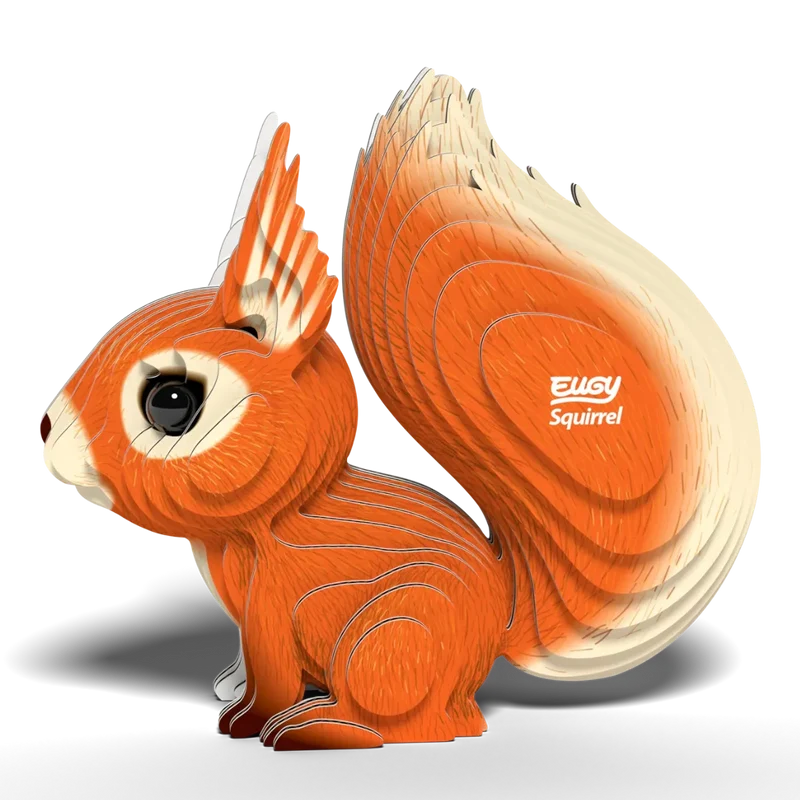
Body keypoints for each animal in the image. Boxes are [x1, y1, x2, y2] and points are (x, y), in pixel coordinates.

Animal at [38, 68, 762, 751]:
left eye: (171, 402)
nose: (46, 431)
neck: (261, 527)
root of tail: (488, 647)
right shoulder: (247, 622)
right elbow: (247, 670)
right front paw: (230, 694)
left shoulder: (271, 605)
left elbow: (271, 681)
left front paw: (247, 722)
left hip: (391, 638)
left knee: (424, 727)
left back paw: (321, 727)